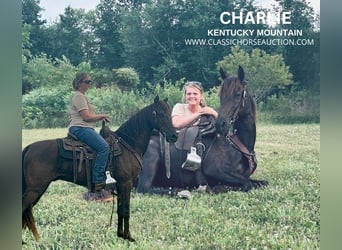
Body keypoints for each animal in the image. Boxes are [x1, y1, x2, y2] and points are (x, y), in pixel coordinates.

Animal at [22, 96, 178, 242]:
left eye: (170, 113)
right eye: (160, 114)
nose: (174, 136)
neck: (128, 143)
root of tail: (29, 148)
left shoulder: (120, 185)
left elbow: (120, 211)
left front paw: (120, 235)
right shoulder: (126, 183)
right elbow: (126, 210)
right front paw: (128, 237)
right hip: (35, 189)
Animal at [136, 67, 268, 195]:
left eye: (238, 94)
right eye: (220, 95)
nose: (220, 124)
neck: (237, 144)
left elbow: (261, 182)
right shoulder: (215, 170)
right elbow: (247, 184)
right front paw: (216, 188)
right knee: (144, 188)